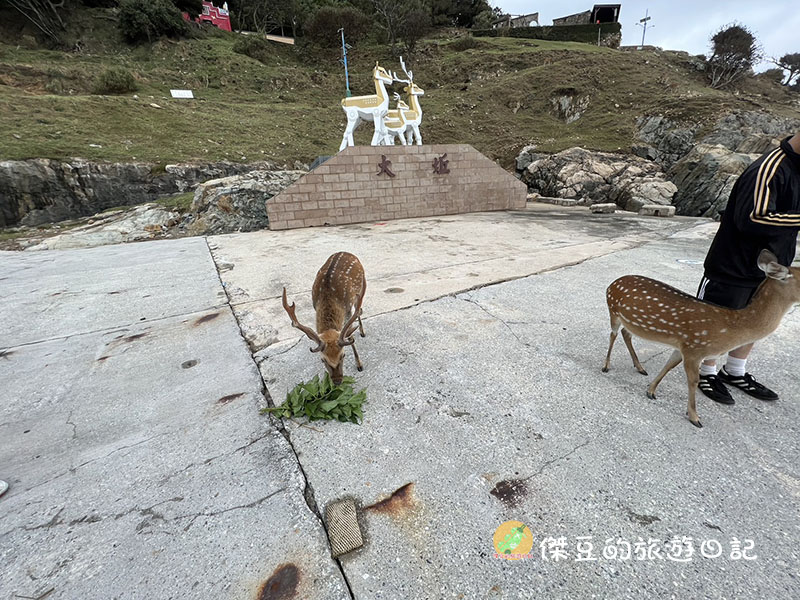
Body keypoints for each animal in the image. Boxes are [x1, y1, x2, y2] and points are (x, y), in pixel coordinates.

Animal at [282, 252, 367, 385]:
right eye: (323, 360)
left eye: (343, 355)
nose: (337, 381)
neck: (328, 296)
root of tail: (346, 252)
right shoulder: (315, 306)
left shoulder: (347, 310)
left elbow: (350, 336)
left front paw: (359, 364)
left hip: (359, 292)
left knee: (359, 309)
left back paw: (362, 331)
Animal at [601, 250, 800, 428]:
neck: (731, 327)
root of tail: (611, 284)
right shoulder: (695, 348)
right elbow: (693, 380)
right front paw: (694, 417)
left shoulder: (683, 345)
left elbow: (668, 365)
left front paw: (651, 390)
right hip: (614, 311)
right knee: (613, 334)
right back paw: (606, 366)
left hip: (628, 320)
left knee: (626, 333)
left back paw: (640, 367)